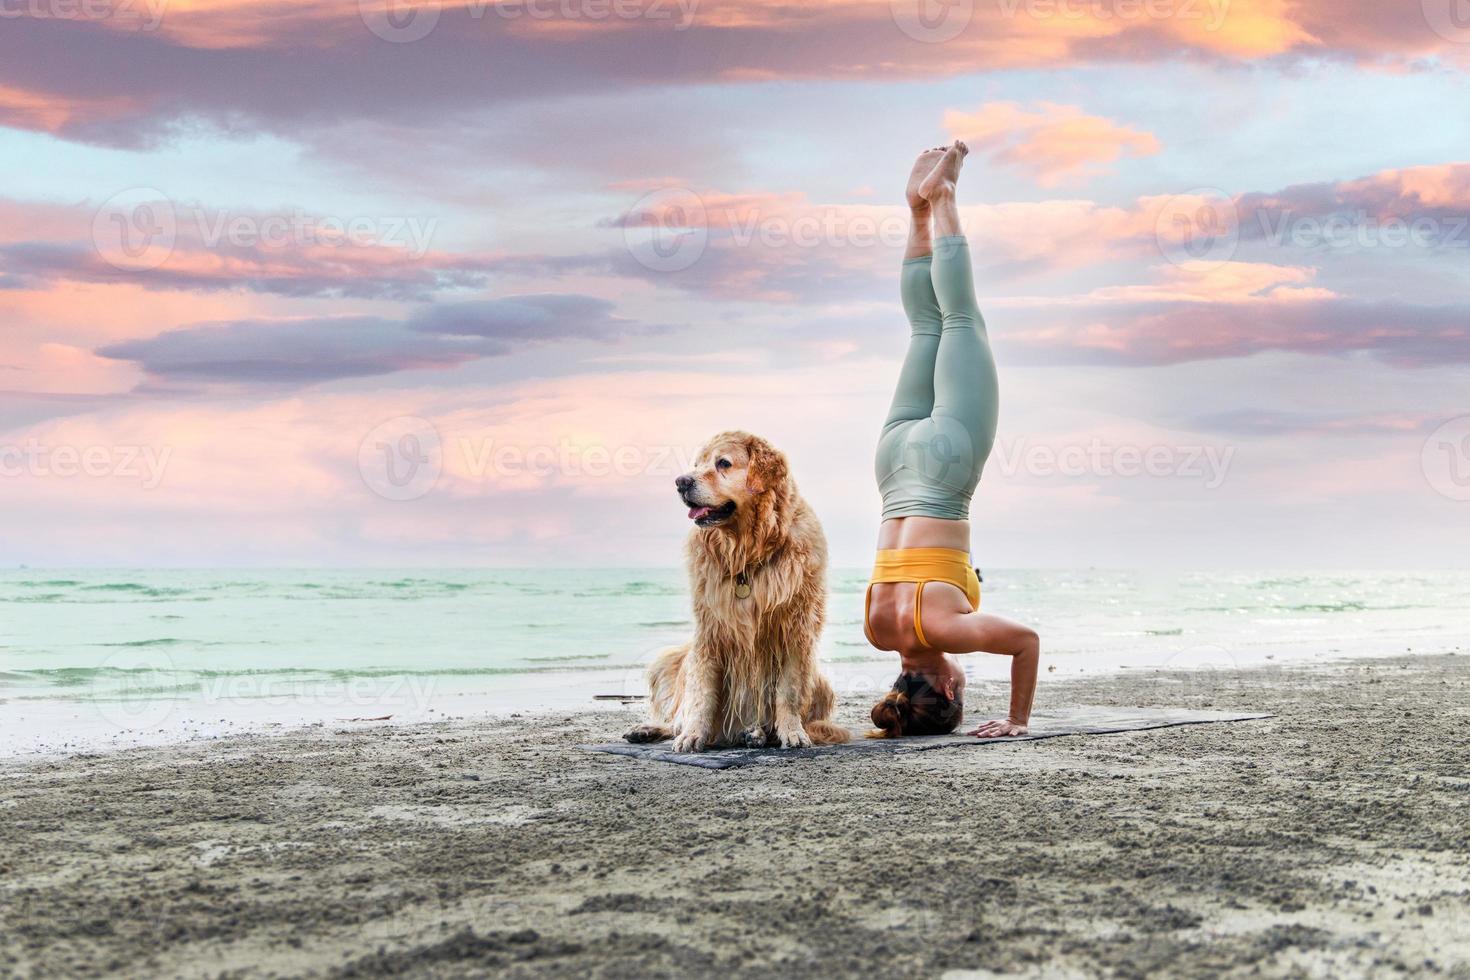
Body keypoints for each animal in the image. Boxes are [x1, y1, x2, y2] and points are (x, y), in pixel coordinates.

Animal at [623, 429, 852, 752]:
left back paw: (756, 733)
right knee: (677, 717)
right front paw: (693, 734)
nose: (681, 482)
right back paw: (650, 729)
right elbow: (702, 695)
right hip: (667, 661)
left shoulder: (795, 629)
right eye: (697, 464)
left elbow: (788, 691)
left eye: (723, 463)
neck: (747, 552)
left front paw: (792, 732)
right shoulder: (710, 631)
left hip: (821, 682)